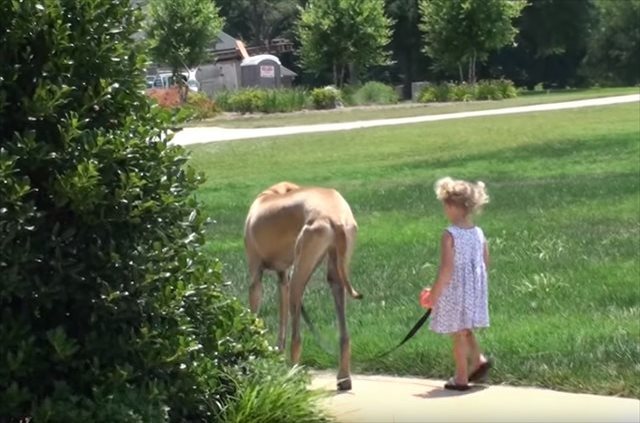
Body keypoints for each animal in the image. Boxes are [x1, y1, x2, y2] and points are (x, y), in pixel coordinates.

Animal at [245, 181, 362, 390]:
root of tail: (335, 215)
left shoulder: (255, 278)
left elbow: (256, 318)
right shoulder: (283, 277)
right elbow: (282, 324)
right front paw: (276, 355)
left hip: (298, 279)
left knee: (297, 338)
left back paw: (292, 376)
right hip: (334, 276)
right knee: (344, 335)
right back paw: (343, 377)